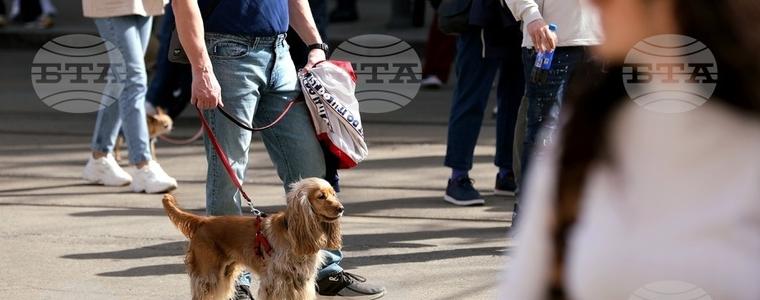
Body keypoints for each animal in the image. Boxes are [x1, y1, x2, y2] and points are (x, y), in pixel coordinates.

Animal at [165, 178, 346, 300]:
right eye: (321, 196)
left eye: (333, 193)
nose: (341, 208)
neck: (292, 233)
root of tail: (203, 220)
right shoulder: (275, 281)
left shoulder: (301, 281)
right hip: (209, 274)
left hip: (225, 272)